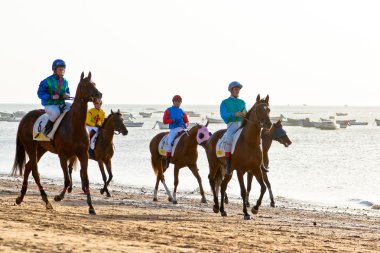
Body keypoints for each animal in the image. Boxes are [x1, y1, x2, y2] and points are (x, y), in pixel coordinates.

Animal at [11, 72, 102, 214]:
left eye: (94, 83)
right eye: (85, 85)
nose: (99, 95)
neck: (74, 126)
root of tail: (25, 118)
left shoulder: (83, 155)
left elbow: (86, 180)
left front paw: (91, 207)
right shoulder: (63, 156)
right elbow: (67, 180)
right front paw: (58, 197)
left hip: (41, 149)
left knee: (28, 167)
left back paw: (20, 197)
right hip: (30, 146)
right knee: (35, 171)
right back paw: (46, 200)